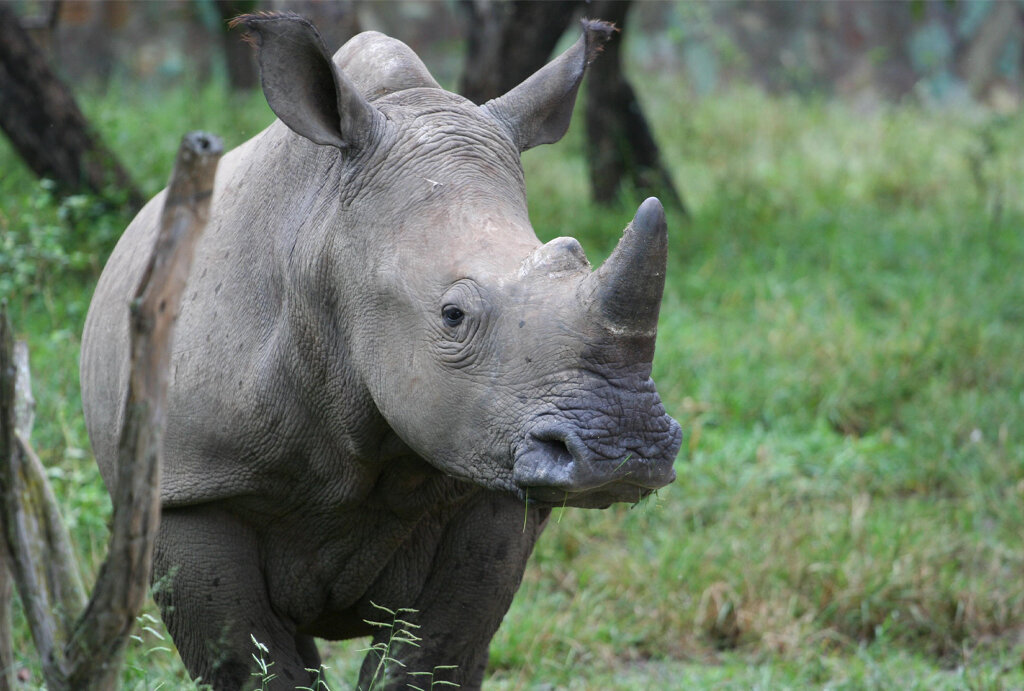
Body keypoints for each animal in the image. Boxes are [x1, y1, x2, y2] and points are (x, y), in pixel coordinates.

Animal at [80, 12, 681, 690]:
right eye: (453, 316)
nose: (624, 454)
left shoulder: (491, 479)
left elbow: (436, 651)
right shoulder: (192, 482)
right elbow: (248, 661)